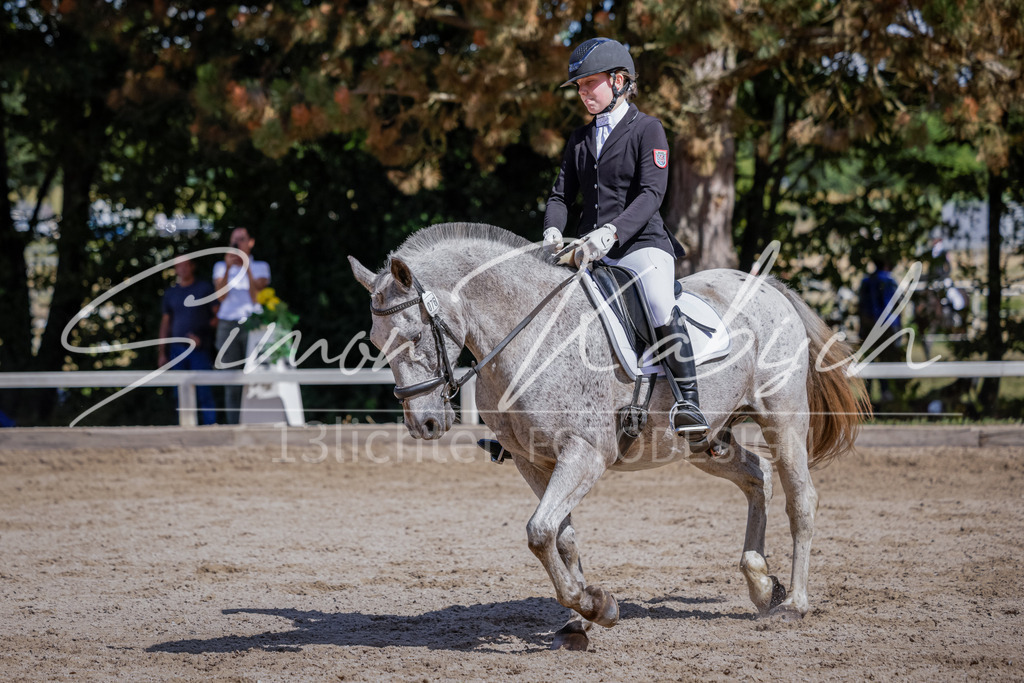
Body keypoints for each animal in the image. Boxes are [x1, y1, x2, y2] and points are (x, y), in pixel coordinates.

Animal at [348, 222, 868, 650]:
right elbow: (561, 537)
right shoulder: (532, 461)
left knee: (800, 498)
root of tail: (767, 287)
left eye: (415, 335)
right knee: (757, 475)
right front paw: (582, 617)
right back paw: (760, 583)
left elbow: (539, 532)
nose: (424, 425)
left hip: (783, 420)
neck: (532, 331)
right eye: (376, 343)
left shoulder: (584, 455)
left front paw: (598, 607)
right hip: (703, 442)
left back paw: (793, 604)